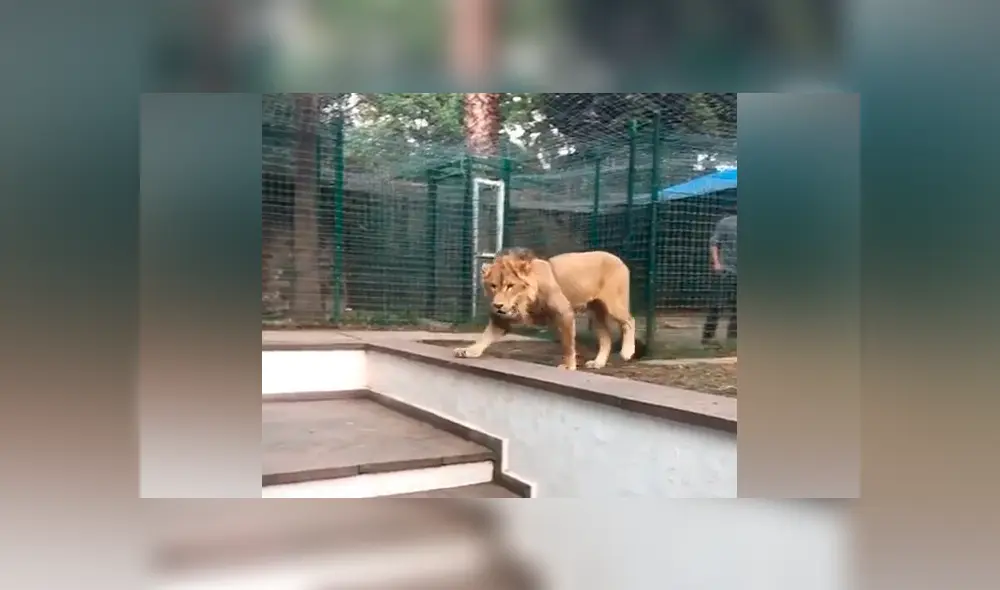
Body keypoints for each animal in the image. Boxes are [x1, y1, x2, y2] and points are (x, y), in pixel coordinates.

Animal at [453, 248, 645, 371]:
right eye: (493, 286)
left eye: (510, 286)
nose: (498, 305)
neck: (523, 300)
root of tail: (617, 258)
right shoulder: (502, 320)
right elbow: (484, 337)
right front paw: (469, 351)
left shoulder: (564, 312)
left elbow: (568, 344)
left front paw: (568, 366)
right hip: (595, 314)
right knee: (606, 337)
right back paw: (598, 363)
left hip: (614, 305)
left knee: (630, 320)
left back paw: (627, 352)